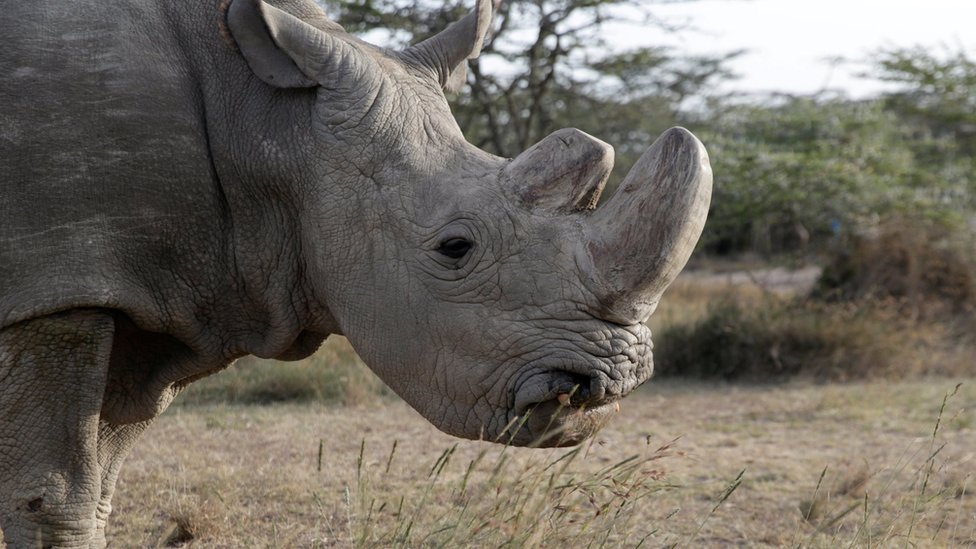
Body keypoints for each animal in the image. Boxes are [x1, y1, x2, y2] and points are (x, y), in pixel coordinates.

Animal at [1, 0, 708, 544]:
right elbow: (51, 497)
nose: (612, 381)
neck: (270, 121)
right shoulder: (58, 283)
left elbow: (98, 487)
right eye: (455, 248)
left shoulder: (156, 295)